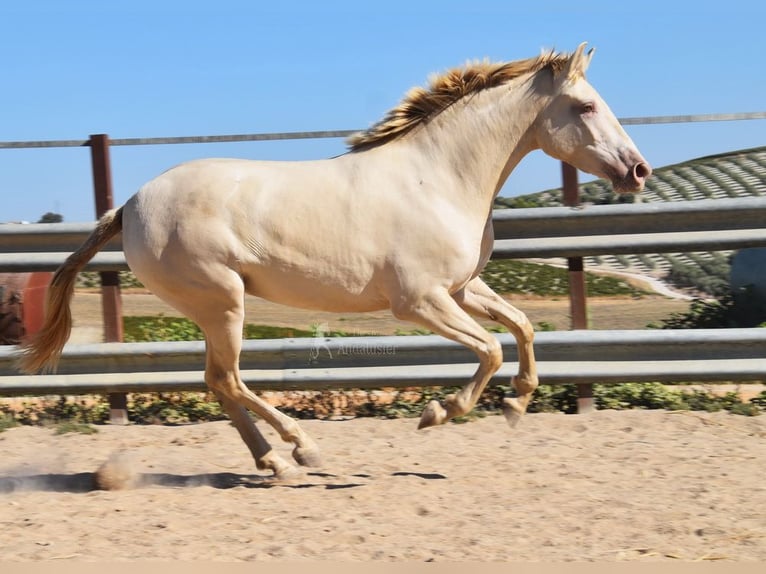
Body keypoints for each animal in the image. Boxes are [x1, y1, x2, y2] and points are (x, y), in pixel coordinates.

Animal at [18, 42, 652, 480]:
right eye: (586, 106)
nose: (639, 170)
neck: (439, 178)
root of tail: (128, 204)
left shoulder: (462, 288)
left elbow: (521, 329)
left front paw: (518, 404)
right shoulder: (419, 301)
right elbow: (491, 348)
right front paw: (440, 412)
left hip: (213, 308)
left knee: (217, 382)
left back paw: (273, 462)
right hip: (223, 302)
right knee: (228, 378)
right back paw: (302, 447)